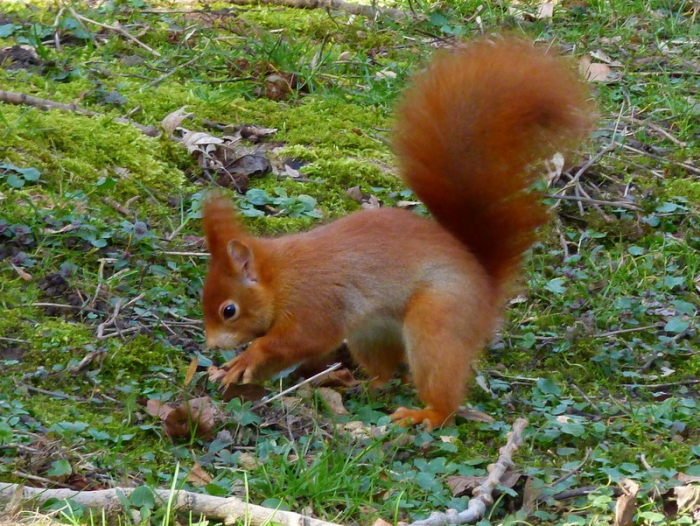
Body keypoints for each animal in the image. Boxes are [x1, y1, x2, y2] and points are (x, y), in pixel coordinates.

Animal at [201, 36, 595, 429]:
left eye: (228, 310)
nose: (212, 345)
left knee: (440, 385)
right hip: (371, 334)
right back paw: (363, 385)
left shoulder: (315, 303)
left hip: (436, 319)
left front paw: (245, 359)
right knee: (386, 370)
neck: (282, 276)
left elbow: (297, 342)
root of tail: (486, 289)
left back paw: (426, 414)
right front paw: (227, 369)